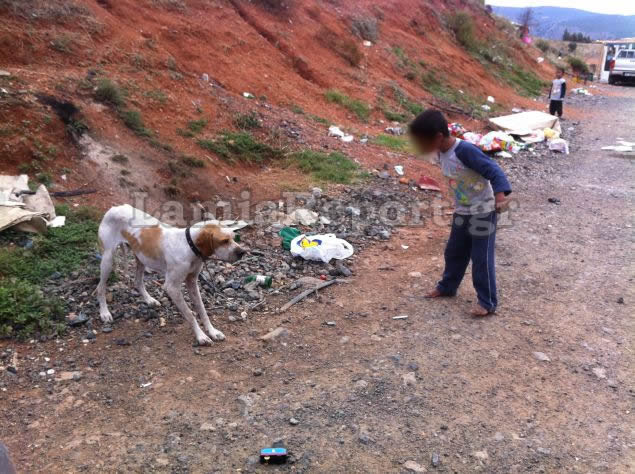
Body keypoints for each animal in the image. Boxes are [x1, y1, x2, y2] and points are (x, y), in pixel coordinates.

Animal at [97, 204, 246, 344]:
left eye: (233, 238)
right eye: (224, 241)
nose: (242, 252)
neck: (188, 245)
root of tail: (115, 207)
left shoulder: (192, 282)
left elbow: (202, 310)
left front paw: (212, 331)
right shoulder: (172, 288)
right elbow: (190, 314)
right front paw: (201, 336)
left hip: (141, 257)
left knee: (137, 281)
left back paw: (149, 300)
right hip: (108, 259)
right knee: (100, 287)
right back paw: (104, 313)